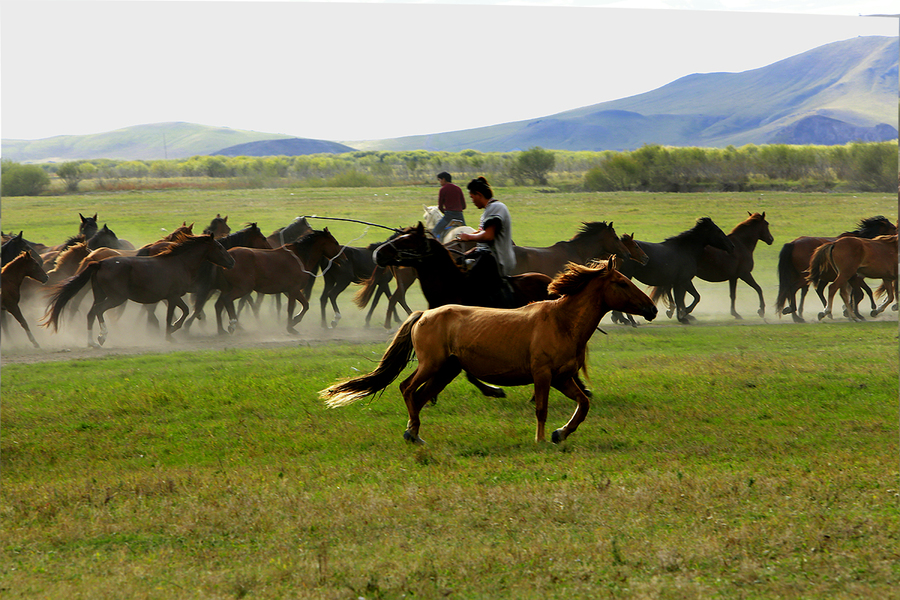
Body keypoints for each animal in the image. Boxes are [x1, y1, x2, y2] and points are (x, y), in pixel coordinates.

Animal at [43, 234, 234, 346]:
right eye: (219, 247)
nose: (231, 262)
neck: (179, 262)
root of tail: (99, 262)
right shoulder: (172, 296)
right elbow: (177, 314)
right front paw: (170, 333)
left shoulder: (172, 297)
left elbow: (183, 311)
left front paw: (172, 330)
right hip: (116, 298)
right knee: (98, 310)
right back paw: (102, 336)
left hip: (100, 295)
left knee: (91, 313)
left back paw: (92, 341)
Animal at [211, 230, 344, 336]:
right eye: (336, 242)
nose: (344, 259)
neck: (299, 258)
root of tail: (229, 259)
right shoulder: (293, 290)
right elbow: (291, 308)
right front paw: (290, 326)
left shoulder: (292, 291)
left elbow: (305, 305)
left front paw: (294, 321)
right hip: (243, 288)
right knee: (227, 300)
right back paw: (232, 324)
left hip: (229, 288)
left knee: (219, 305)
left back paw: (221, 330)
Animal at [320, 258, 656, 446]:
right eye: (622, 283)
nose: (652, 309)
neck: (561, 321)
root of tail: (424, 314)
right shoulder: (542, 375)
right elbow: (541, 409)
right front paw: (541, 439)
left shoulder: (562, 377)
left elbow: (583, 404)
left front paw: (561, 433)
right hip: (432, 364)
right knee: (407, 388)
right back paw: (413, 433)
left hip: (447, 370)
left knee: (420, 395)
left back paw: (414, 435)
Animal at [608, 218, 736, 326]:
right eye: (718, 231)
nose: (732, 246)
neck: (685, 250)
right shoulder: (683, 281)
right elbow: (693, 298)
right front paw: (684, 315)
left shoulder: (678, 282)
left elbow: (683, 299)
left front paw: (681, 316)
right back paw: (626, 320)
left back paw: (622, 319)